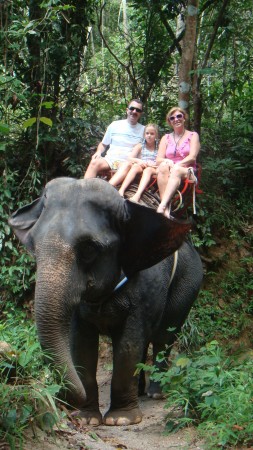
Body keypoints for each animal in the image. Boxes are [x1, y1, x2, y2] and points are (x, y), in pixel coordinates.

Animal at [8, 176, 204, 426]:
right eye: (33, 246)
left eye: (89, 249)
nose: (63, 401)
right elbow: (81, 343)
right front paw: (88, 419)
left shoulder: (146, 284)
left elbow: (129, 344)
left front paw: (121, 420)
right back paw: (140, 392)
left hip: (189, 283)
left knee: (164, 337)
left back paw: (155, 393)